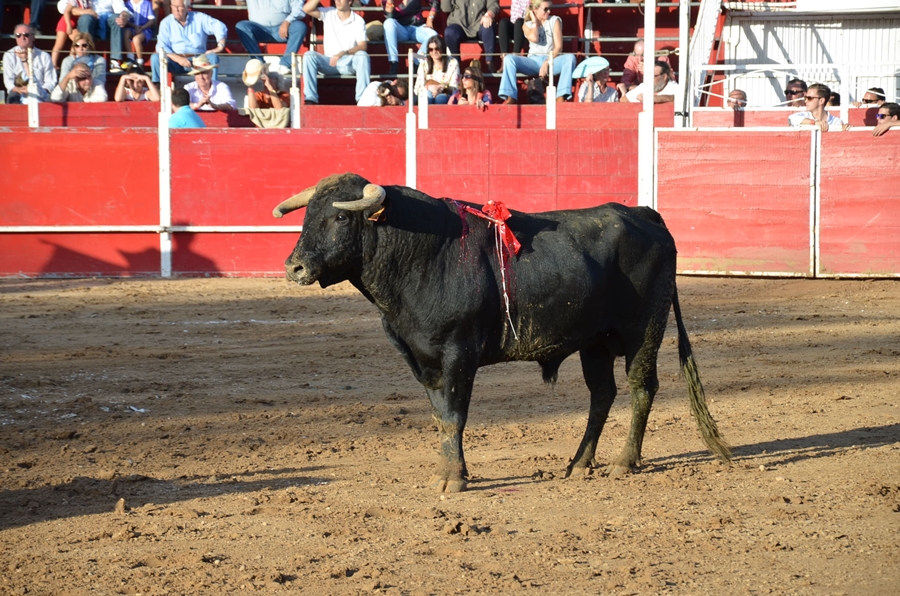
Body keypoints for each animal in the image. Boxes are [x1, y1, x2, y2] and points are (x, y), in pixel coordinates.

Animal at [270, 173, 728, 494]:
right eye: (307, 216)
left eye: (340, 216)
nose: (294, 267)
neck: (421, 254)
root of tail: (646, 214)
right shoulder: (422, 360)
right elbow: (441, 418)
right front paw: (447, 472)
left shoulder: (459, 354)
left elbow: (456, 415)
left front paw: (454, 480)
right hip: (594, 343)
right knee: (602, 395)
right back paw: (578, 464)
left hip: (642, 331)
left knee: (641, 388)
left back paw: (624, 462)